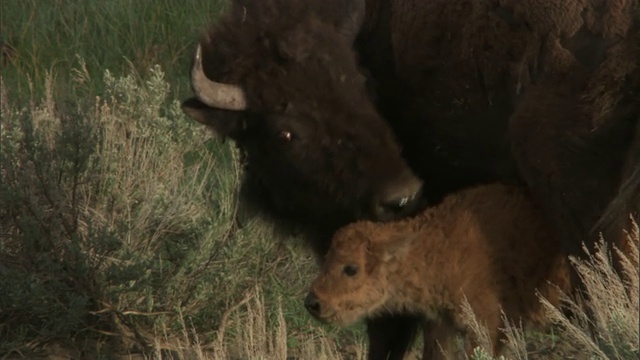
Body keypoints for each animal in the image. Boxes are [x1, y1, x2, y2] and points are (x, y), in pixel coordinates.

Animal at [304, 184, 568, 358]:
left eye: (351, 268)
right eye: (326, 259)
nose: (313, 303)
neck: (439, 247)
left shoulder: (485, 326)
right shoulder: (441, 325)